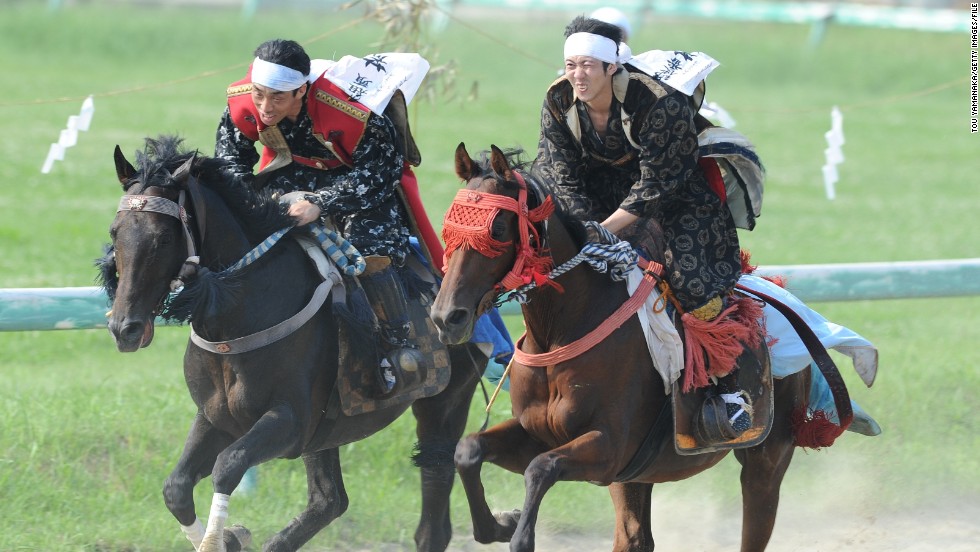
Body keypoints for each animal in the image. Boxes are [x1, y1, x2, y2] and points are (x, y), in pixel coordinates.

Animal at [100, 137, 490, 552]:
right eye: (114, 232)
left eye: (163, 237)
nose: (125, 327)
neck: (239, 316)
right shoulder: (215, 416)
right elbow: (176, 487)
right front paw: (231, 536)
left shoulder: (290, 421)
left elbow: (228, 465)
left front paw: (226, 536)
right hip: (328, 431)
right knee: (329, 500)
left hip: (446, 398)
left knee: (432, 501)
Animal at [430, 144, 812, 552]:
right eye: (448, 227)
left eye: (497, 229)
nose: (446, 316)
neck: (561, 330)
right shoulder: (538, 434)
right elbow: (469, 450)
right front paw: (500, 524)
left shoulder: (608, 449)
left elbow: (541, 468)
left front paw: (518, 530)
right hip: (637, 477)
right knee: (635, 537)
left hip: (766, 458)